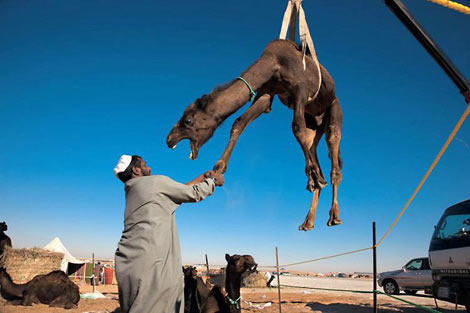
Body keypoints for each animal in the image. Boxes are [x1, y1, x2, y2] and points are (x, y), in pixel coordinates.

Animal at [167, 39, 344, 229]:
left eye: (188, 120)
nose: (169, 139)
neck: (274, 63)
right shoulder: (267, 92)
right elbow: (239, 122)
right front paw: (218, 169)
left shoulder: (301, 91)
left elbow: (296, 127)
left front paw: (313, 176)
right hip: (313, 122)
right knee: (312, 145)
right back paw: (308, 219)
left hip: (333, 108)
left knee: (333, 151)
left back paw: (333, 215)